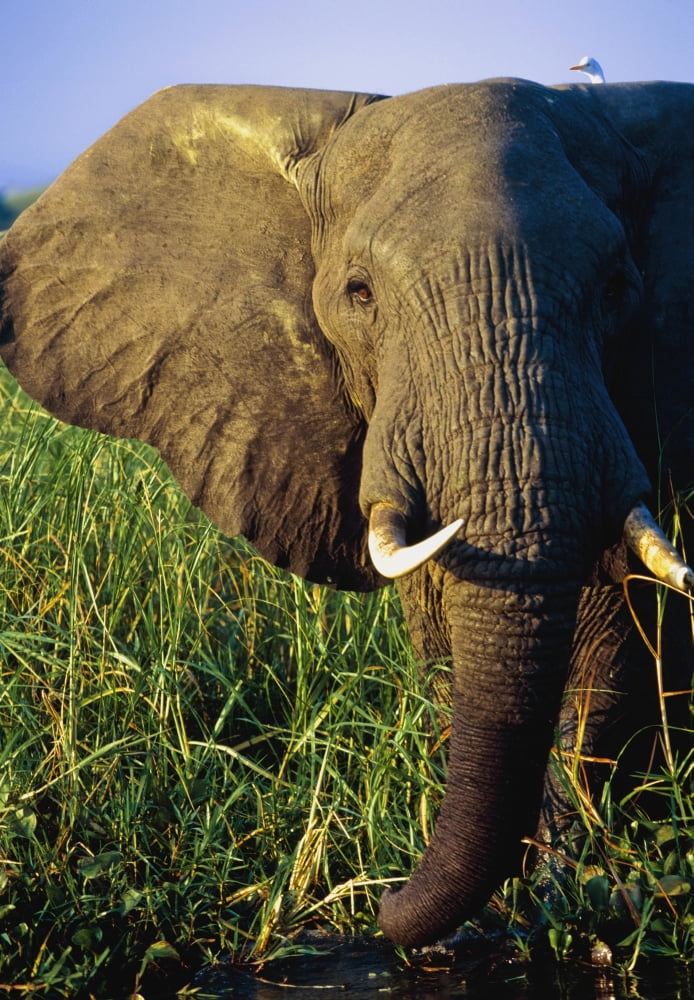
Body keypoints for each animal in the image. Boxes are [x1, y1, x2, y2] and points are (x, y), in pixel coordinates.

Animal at [0, 77, 692, 950]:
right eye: (360, 295)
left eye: (616, 289)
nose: (377, 902)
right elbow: (451, 646)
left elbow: (613, 643)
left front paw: (563, 892)